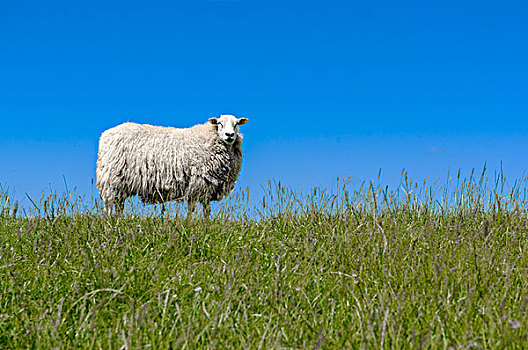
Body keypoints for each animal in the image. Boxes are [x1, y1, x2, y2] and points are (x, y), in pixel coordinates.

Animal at [95, 115, 250, 217]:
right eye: (219, 123)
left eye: (237, 124)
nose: (229, 135)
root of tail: (105, 135)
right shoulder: (199, 183)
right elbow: (193, 208)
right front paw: (191, 224)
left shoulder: (205, 187)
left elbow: (206, 210)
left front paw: (206, 225)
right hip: (111, 180)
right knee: (109, 206)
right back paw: (110, 224)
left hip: (121, 183)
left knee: (119, 205)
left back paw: (119, 222)